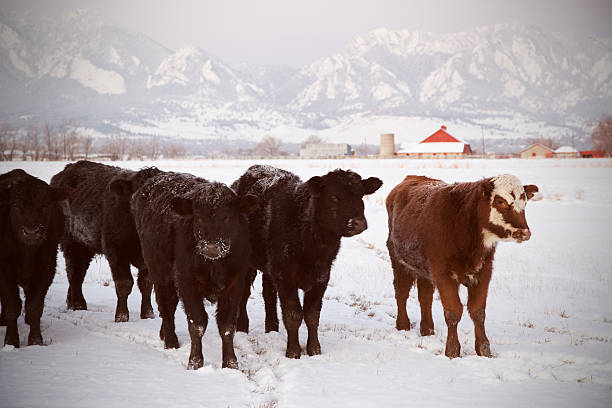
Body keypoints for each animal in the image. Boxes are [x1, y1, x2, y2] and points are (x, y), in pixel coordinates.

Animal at [0, 169, 69, 348]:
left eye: (44, 206)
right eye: (16, 206)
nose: (31, 232)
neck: (27, 252)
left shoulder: (47, 266)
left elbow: (34, 306)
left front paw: (36, 340)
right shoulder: (3, 267)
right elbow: (12, 306)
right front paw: (11, 342)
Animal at [50, 161, 160, 324]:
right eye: (138, 193)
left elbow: (146, 284)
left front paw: (148, 314)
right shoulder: (115, 250)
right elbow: (124, 283)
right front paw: (121, 316)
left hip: (85, 245)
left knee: (78, 272)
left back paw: (71, 302)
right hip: (72, 243)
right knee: (75, 273)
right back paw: (78, 305)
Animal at [116, 171, 256, 368]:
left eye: (228, 217)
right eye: (198, 217)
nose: (211, 247)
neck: (214, 264)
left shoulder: (235, 284)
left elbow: (227, 326)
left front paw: (230, 363)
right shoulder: (187, 282)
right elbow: (197, 323)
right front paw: (195, 362)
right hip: (159, 273)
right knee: (166, 305)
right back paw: (170, 340)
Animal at [234, 165, 382, 356]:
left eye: (361, 195)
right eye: (333, 197)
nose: (358, 223)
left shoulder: (322, 276)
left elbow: (312, 315)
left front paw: (314, 349)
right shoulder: (285, 275)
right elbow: (293, 314)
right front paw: (293, 351)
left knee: (268, 294)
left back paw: (272, 328)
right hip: (247, 263)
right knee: (244, 293)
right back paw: (242, 327)